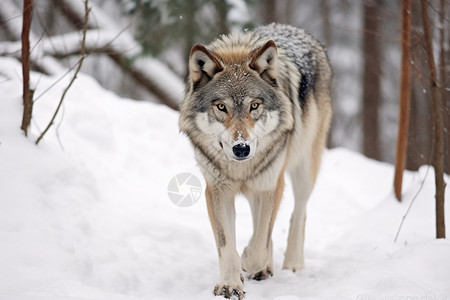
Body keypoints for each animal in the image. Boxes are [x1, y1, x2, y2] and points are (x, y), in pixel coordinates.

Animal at [178, 22, 330, 298]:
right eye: (221, 107)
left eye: (254, 106)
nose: (242, 149)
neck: (240, 169)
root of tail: (298, 30)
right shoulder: (217, 190)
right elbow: (227, 245)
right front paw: (230, 282)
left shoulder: (271, 184)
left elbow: (259, 243)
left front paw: (249, 260)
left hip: (303, 170)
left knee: (298, 213)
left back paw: (291, 264)